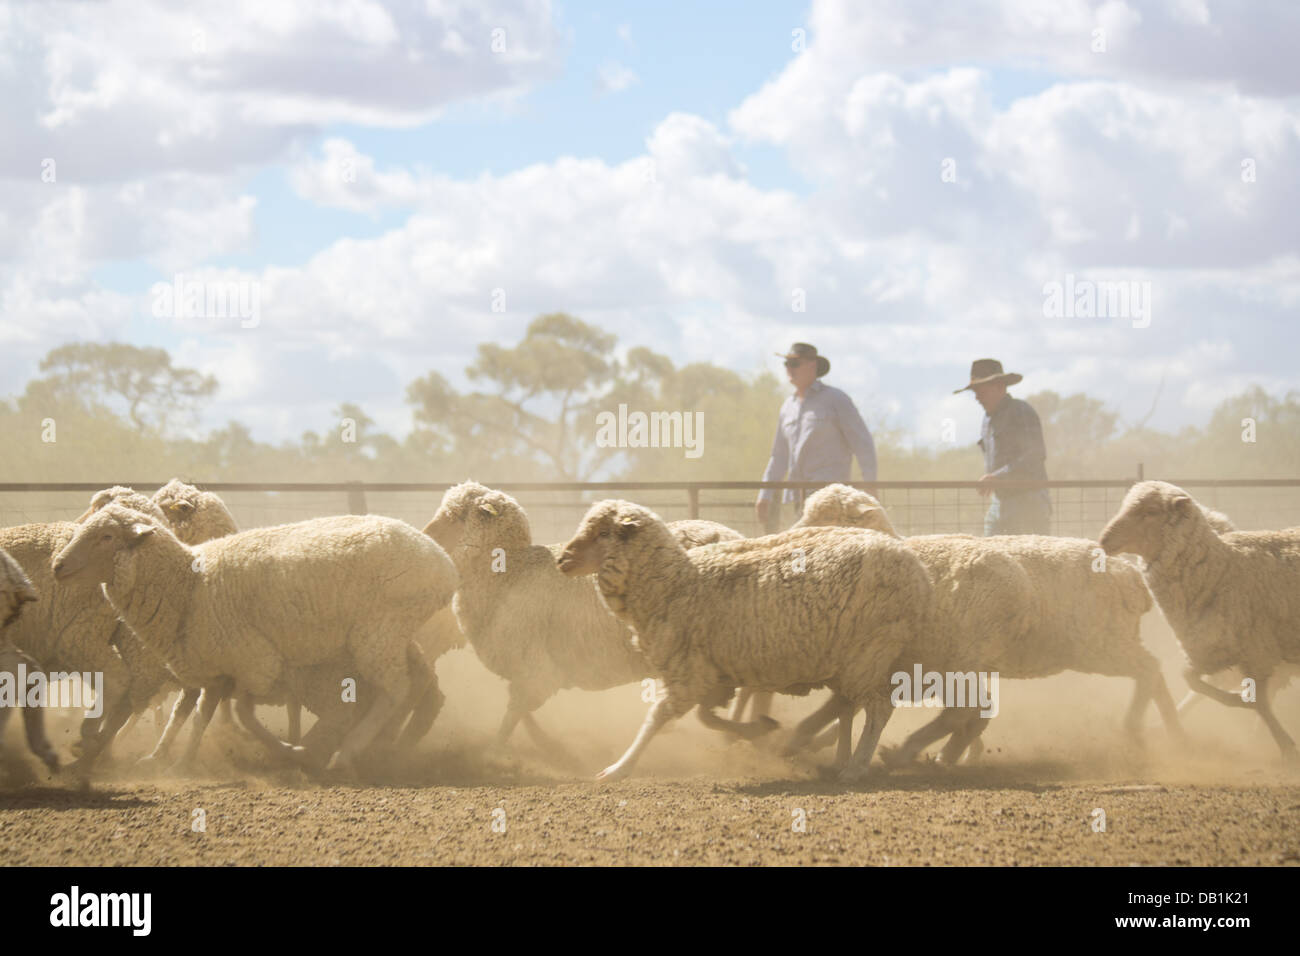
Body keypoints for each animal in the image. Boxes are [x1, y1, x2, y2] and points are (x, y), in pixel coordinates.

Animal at [553, 496, 941, 780]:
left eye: (604, 533)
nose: (563, 559)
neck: (676, 582)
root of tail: (917, 570)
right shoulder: (714, 673)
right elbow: (707, 718)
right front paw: (756, 729)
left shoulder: (688, 671)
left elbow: (656, 719)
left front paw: (619, 768)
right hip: (853, 659)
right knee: (851, 706)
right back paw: (838, 757)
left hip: (869, 651)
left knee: (878, 708)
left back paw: (856, 766)